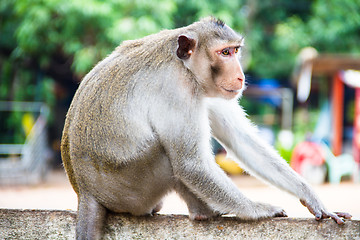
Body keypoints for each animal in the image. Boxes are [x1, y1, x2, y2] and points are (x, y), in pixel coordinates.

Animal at [61, 17, 352, 240]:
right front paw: (256, 209)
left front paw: (312, 198)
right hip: (130, 190)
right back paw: (204, 211)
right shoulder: (176, 89)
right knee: (167, 155)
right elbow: (191, 164)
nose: (240, 76)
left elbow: (241, 140)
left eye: (235, 50)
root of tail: (85, 191)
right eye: (224, 53)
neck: (184, 65)